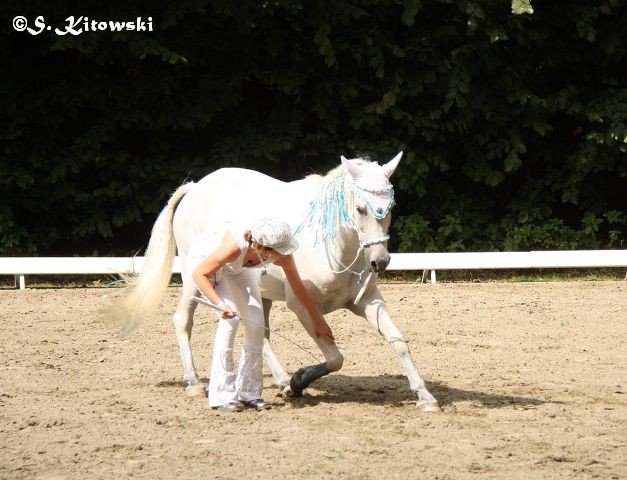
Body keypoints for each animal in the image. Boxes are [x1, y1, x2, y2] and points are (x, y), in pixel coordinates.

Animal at [114, 152, 442, 410]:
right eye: (361, 209)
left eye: (391, 208)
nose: (380, 261)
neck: (334, 247)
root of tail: (195, 188)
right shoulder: (302, 306)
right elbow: (334, 357)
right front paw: (299, 381)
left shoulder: (368, 302)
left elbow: (398, 341)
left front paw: (425, 396)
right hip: (196, 279)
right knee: (183, 320)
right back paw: (195, 383)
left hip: (260, 292)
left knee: (260, 333)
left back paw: (281, 380)